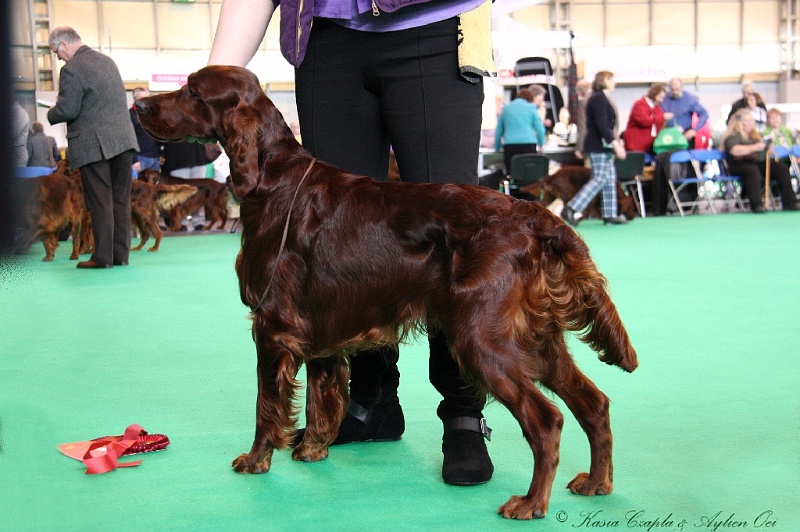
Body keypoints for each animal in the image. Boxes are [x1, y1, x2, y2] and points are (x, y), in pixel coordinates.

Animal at [136, 65, 636, 520]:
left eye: (193, 91)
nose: (139, 106)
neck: (272, 179)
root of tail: (536, 218)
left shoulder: (273, 326)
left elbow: (266, 405)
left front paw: (256, 460)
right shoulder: (318, 327)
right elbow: (319, 397)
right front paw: (313, 450)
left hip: (481, 339)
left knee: (548, 420)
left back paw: (530, 503)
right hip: (536, 338)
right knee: (594, 403)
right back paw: (597, 482)